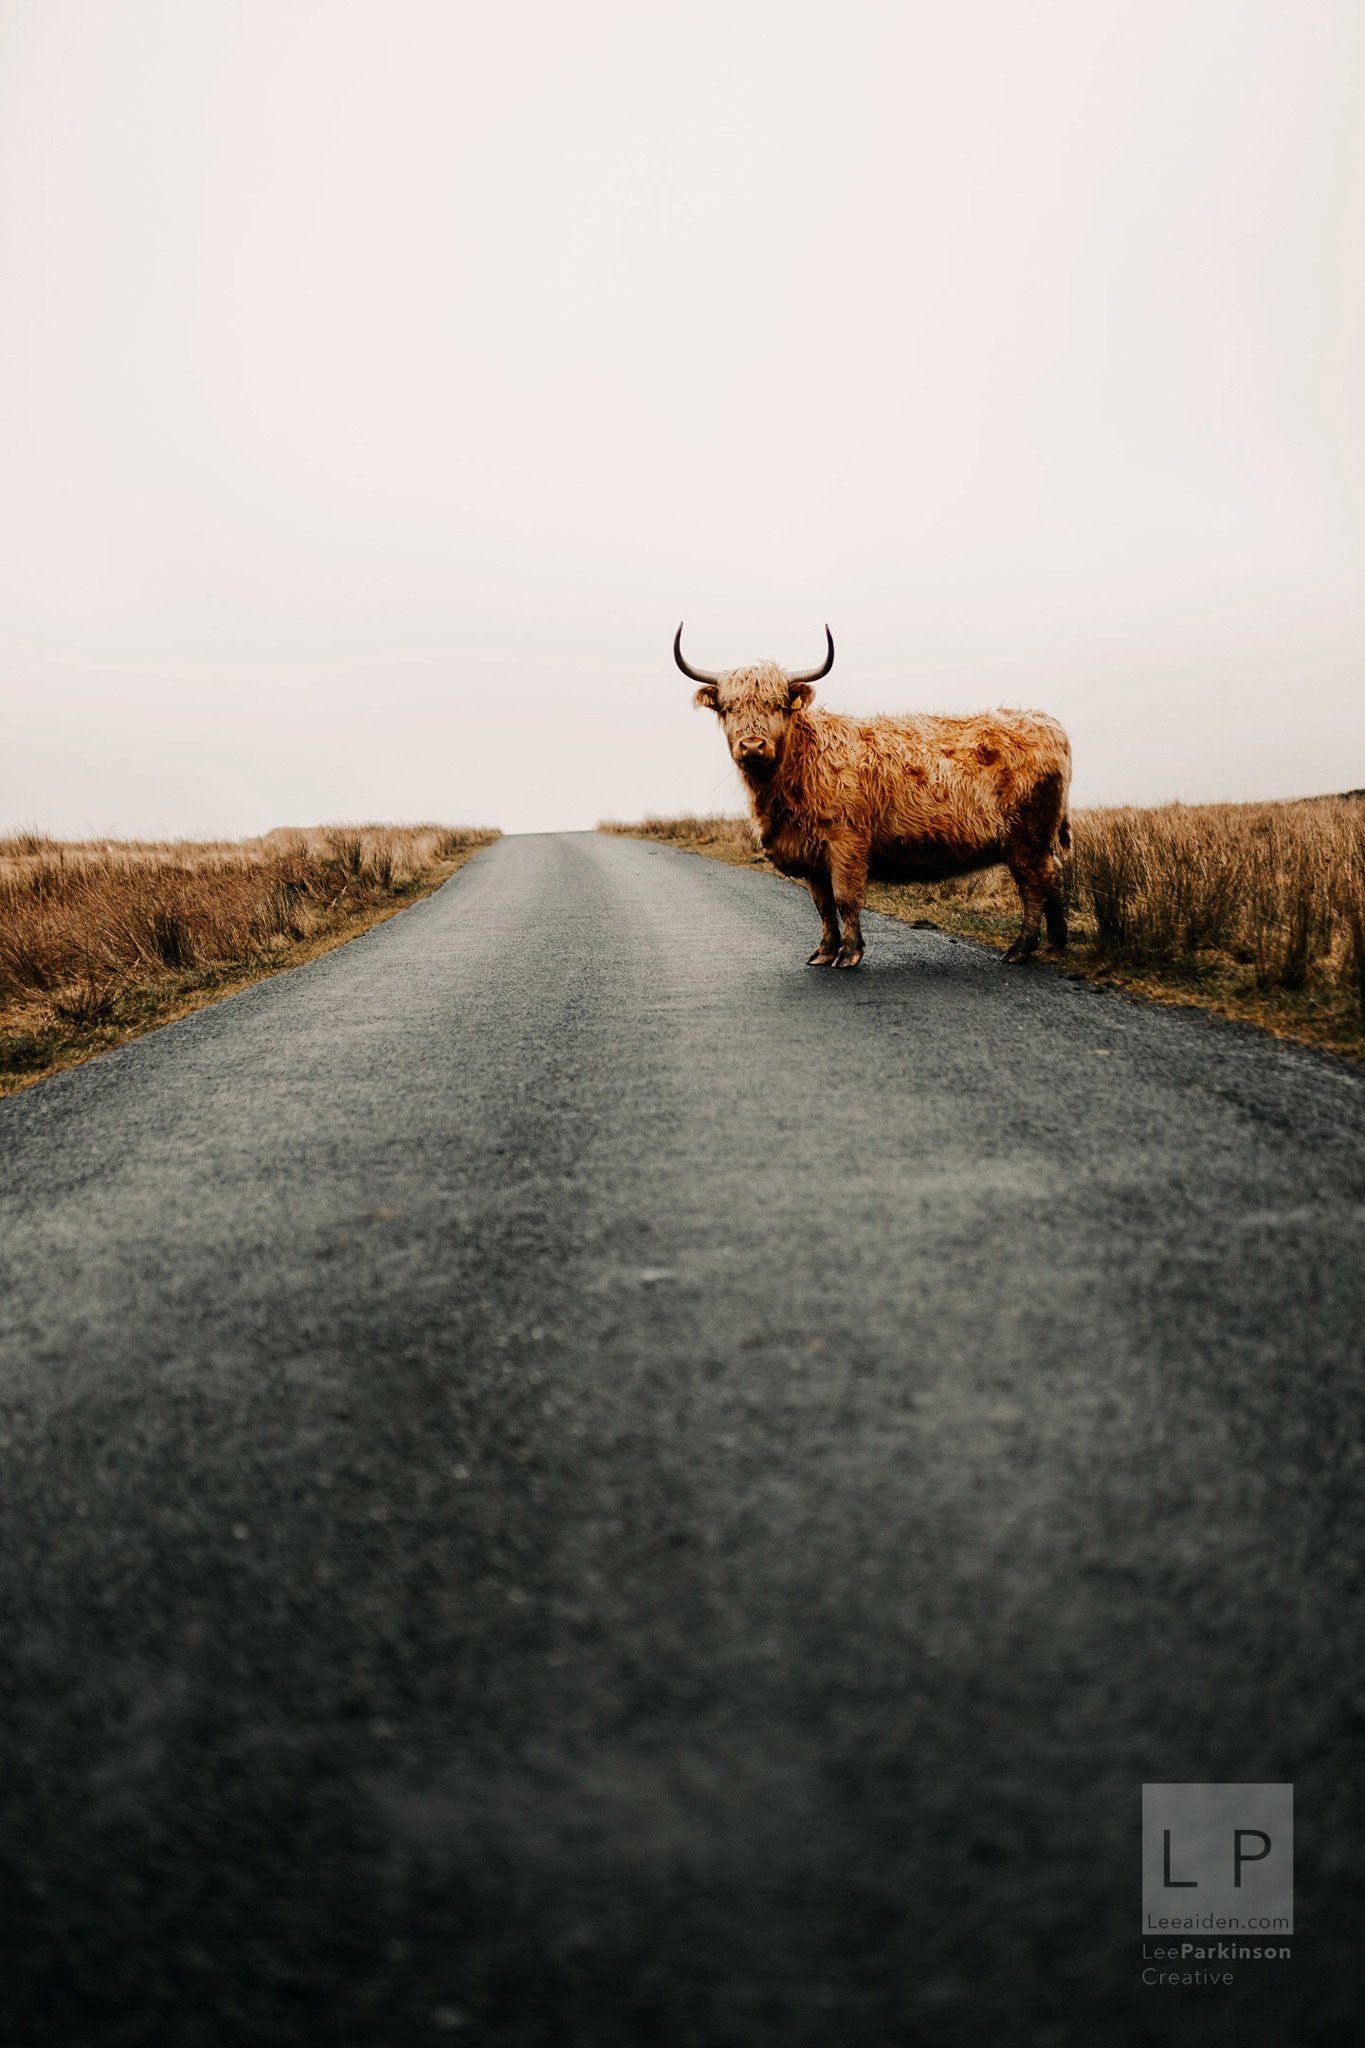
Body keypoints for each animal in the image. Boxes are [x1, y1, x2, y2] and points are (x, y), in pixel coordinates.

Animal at [675, 624, 1072, 970]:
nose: (753, 745)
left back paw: (1021, 949)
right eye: (729, 708)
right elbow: (823, 905)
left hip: (1029, 836)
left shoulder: (846, 842)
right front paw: (824, 952)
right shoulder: (810, 853)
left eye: (777, 705)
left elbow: (845, 899)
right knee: (1052, 878)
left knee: (1036, 881)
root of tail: (1046, 722)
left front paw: (850, 954)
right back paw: (1055, 943)